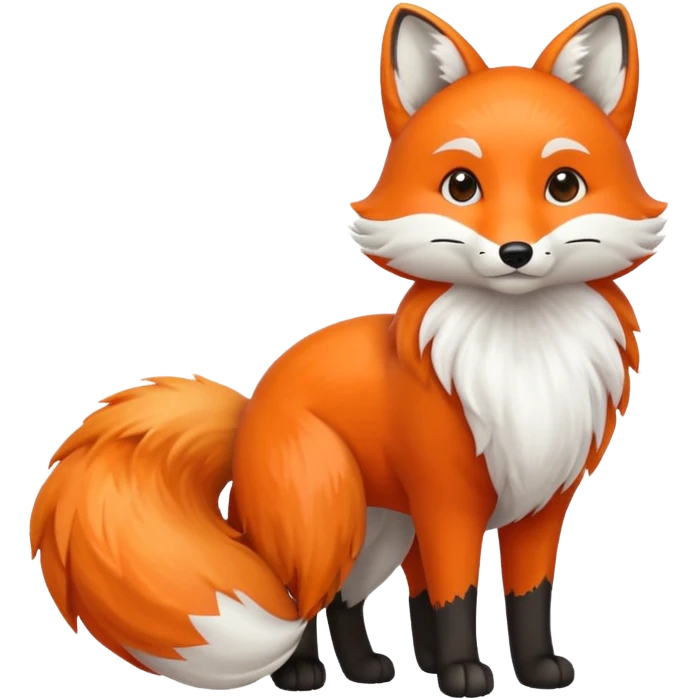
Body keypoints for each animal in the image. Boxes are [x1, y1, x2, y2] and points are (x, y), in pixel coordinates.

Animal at [29, 2, 668, 697]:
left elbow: (526, 598)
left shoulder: (541, 505)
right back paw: (302, 671)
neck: (523, 359)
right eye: (462, 186)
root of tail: (247, 411)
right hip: (327, 516)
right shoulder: (447, 503)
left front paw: (532, 670)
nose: (516, 252)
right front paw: (462, 672)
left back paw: (364, 668)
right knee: (301, 599)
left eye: (563, 186)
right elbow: (454, 596)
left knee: (342, 600)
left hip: (379, 530)